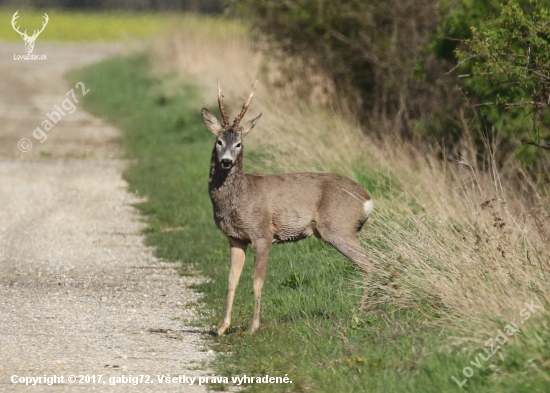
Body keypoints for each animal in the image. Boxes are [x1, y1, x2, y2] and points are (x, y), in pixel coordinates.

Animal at [203, 80, 376, 334]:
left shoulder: (262, 233)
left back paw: (360, 315)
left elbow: (257, 282)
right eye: (219, 141)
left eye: (239, 144)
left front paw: (253, 327)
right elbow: (231, 281)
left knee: (371, 265)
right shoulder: (235, 238)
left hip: (339, 228)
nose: (226, 161)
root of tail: (367, 200)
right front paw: (222, 327)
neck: (241, 197)